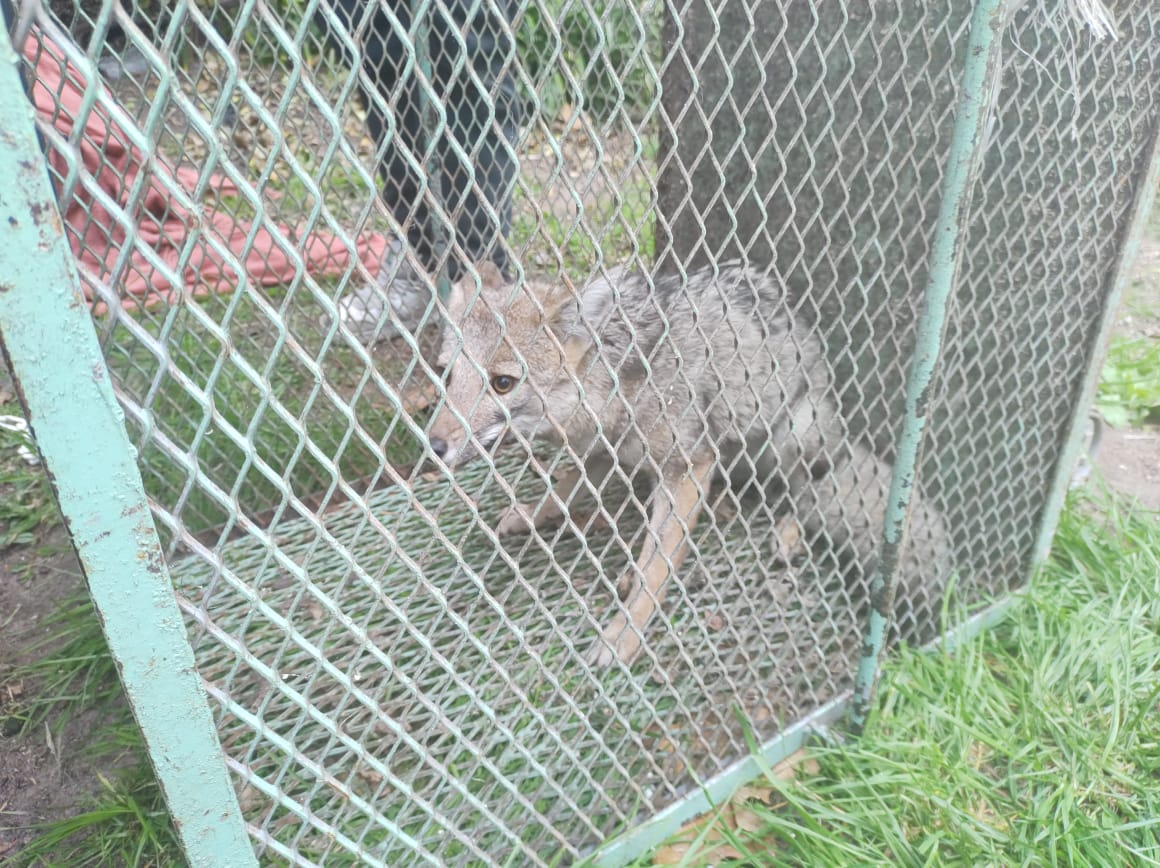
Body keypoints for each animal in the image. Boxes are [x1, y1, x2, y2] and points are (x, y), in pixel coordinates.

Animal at [429, 261, 951, 668]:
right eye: (446, 375)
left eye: (502, 382)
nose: (433, 445)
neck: (619, 381)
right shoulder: (602, 451)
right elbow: (566, 488)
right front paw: (530, 514)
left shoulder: (689, 467)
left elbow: (656, 569)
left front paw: (624, 635)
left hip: (792, 435)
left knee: (802, 493)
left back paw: (787, 533)